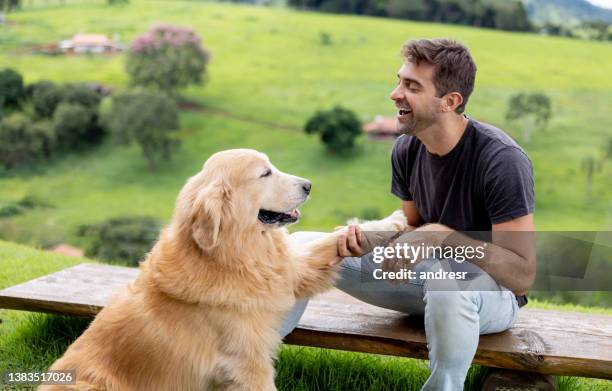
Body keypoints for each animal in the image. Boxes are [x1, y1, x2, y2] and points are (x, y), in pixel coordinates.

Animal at [41, 149, 406, 391]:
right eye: (265, 173)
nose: (309, 185)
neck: (234, 255)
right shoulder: (248, 362)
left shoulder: (291, 271)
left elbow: (334, 240)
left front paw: (391, 221)